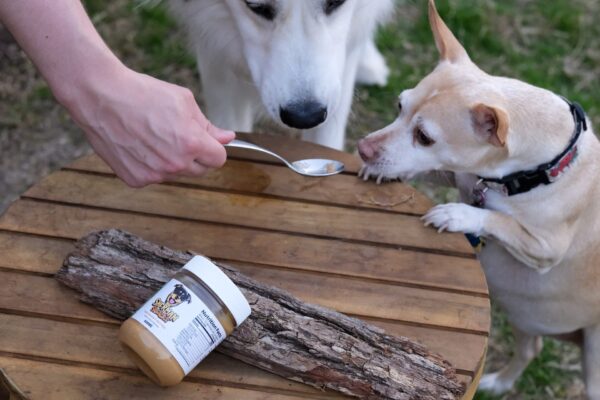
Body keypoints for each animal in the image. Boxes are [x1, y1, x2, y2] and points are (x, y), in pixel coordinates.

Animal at [356, 1, 600, 398]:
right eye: (399, 105)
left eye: (425, 136)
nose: (363, 148)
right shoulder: (461, 173)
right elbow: (431, 170)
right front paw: (387, 171)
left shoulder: (544, 249)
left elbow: (499, 219)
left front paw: (458, 215)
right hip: (524, 316)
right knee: (532, 347)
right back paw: (499, 382)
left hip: (593, 356)